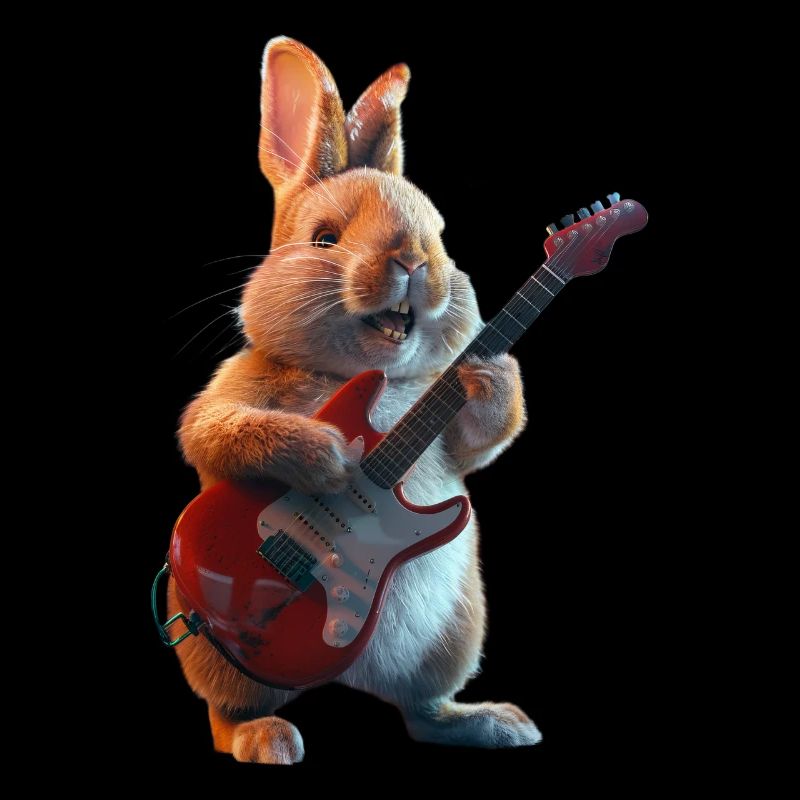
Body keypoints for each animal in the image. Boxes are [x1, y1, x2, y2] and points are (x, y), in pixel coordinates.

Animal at [169, 35, 542, 764]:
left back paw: (491, 723)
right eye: (324, 239)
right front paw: (328, 457)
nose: (413, 262)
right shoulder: (236, 389)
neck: (375, 377)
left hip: (452, 639)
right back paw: (264, 738)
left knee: (421, 711)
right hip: (216, 651)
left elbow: (480, 442)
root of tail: (343, 675)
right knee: (226, 712)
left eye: (440, 236)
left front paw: (494, 375)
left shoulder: (449, 430)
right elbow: (215, 430)